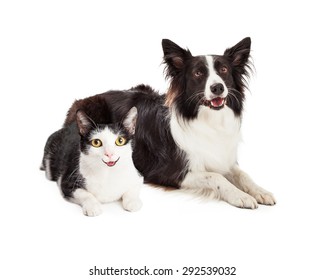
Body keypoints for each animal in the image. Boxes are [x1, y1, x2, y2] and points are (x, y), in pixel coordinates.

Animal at [64, 36, 274, 208]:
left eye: (224, 70)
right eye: (198, 73)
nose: (217, 87)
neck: (207, 120)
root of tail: (82, 100)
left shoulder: (223, 159)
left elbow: (242, 174)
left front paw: (260, 191)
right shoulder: (170, 172)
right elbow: (216, 177)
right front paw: (240, 196)